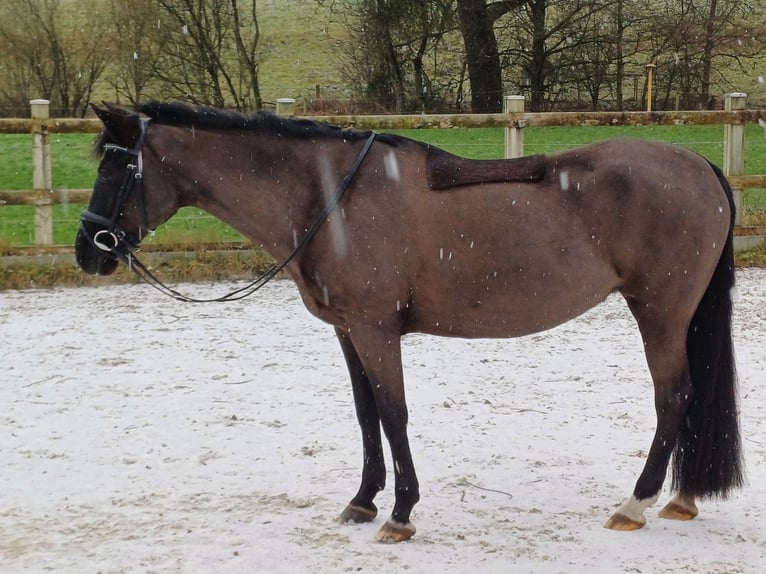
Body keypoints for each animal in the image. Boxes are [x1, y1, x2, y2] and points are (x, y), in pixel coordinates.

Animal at [75, 102, 743, 543]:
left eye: (115, 169)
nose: (88, 250)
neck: (328, 196)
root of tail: (701, 166)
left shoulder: (375, 329)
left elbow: (393, 413)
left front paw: (400, 513)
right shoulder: (348, 330)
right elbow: (366, 414)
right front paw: (362, 501)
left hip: (660, 313)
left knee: (673, 396)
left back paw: (635, 503)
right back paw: (681, 499)